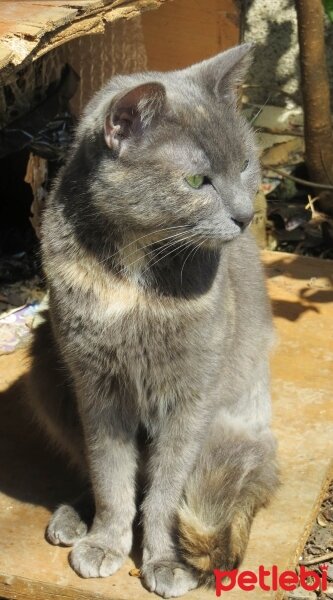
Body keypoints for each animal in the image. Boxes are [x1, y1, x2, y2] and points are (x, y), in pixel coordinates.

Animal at [27, 44, 278, 596]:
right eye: (196, 180)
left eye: (245, 163)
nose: (245, 216)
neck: (136, 275)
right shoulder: (96, 386)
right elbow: (109, 475)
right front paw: (104, 543)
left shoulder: (190, 394)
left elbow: (166, 490)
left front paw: (165, 562)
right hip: (46, 373)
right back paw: (72, 519)